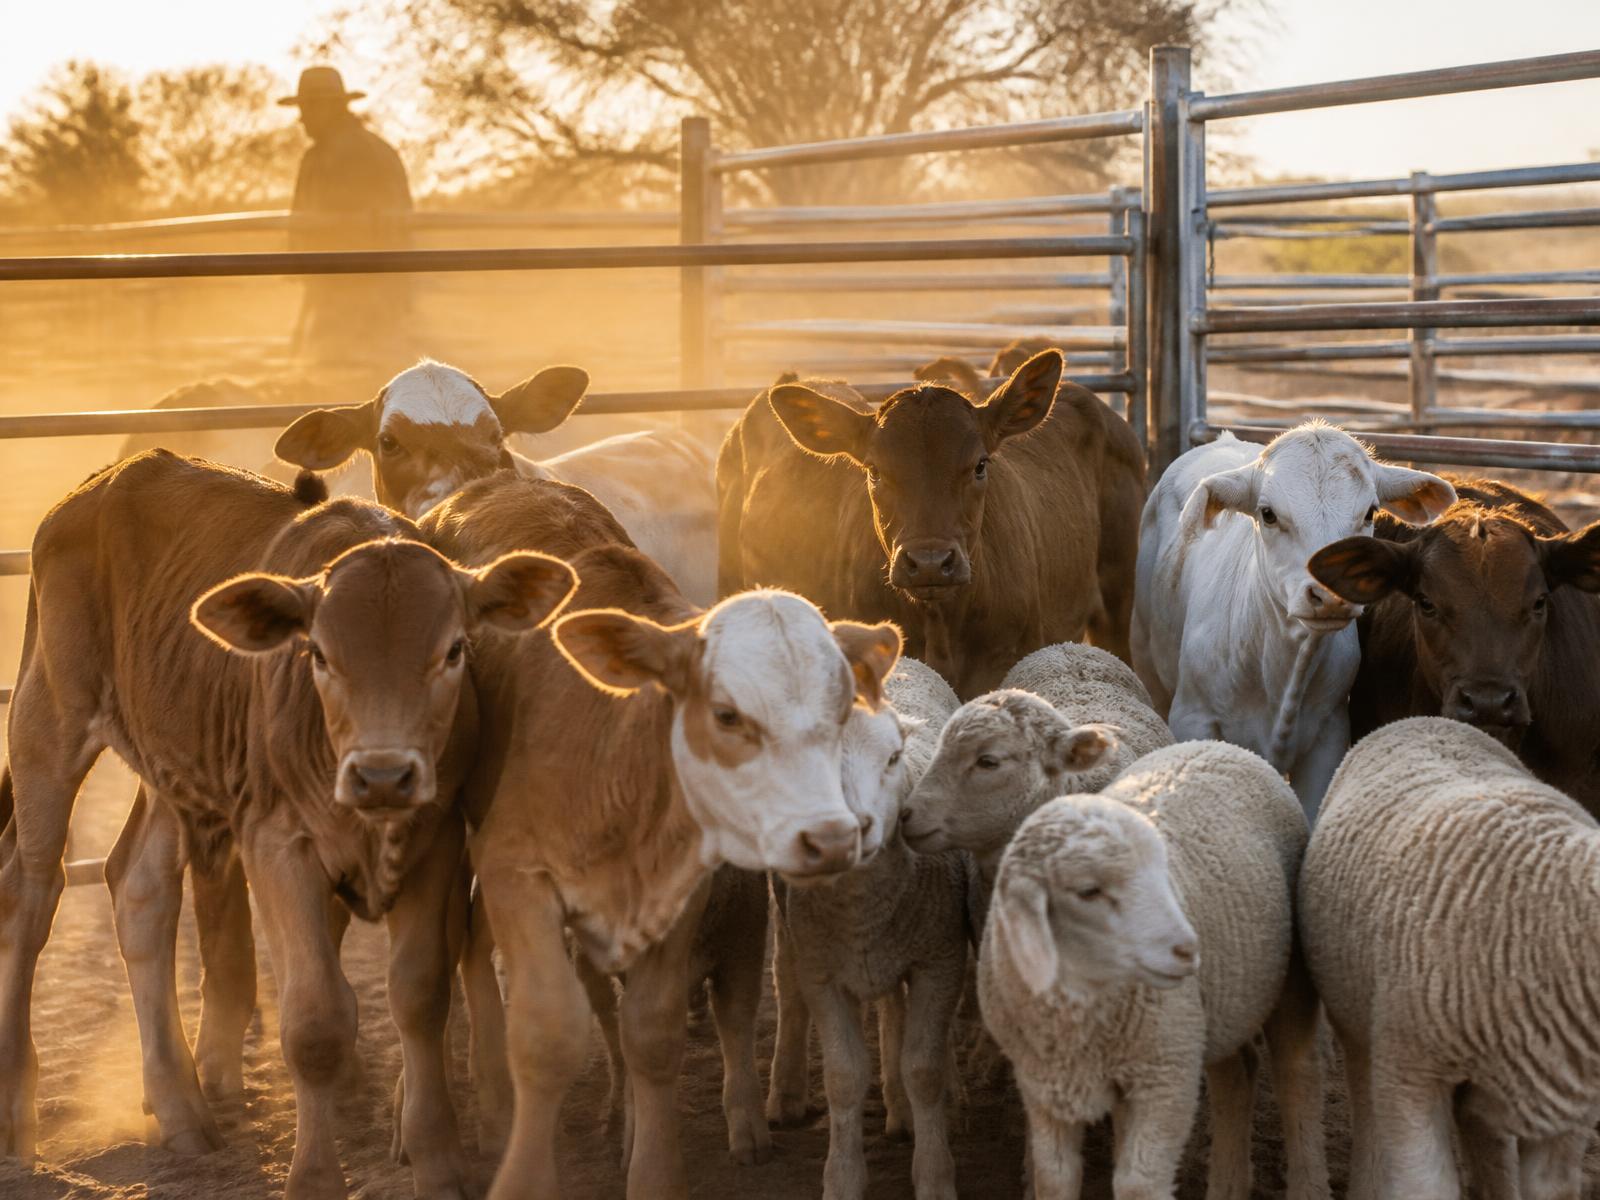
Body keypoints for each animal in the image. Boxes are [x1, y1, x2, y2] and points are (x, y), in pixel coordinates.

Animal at [0, 450, 575, 1199]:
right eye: (319, 654)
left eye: (454, 651)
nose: (383, 775)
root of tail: (99, 485)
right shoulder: (278, 844)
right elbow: (316, 1023)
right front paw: (315, 1177)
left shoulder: (437, 839)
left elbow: (421, 995)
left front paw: (439, 1162)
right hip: (49, 722)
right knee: (31, 898)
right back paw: (17, 1111)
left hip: (171, 758)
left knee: (140, 889)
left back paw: (182, 1110)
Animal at [418, 474, 899, 1200]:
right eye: (726, 714)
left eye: (844, 708)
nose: (831, 839)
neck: (617, 757)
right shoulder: (515, 872)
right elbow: (546, 1033)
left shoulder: (682, 893)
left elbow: (651, 1032)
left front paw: (652, 1170)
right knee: (463, 950)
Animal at [768, 657, 970, 1200]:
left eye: (894, 758)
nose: (854, 828)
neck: (862, 907)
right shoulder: (822, 971)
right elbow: (843, 1077)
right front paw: (842, 1176)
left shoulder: (939, 959)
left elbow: (923, 1069)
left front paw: (935, 1173)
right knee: (785, 983)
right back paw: (782, 1096)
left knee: (895, 1011)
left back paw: (906, 1110)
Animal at [981, 740, 1328, 1200]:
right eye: (1087, 891)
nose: (1187, 949)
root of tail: (1223, 746)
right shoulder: (1045, 1086)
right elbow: (1054, 1177)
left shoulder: (1163, 1081)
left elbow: (1138, 1184)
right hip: (1216, 1005)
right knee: (1236, 1075)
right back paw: (1227, 1186)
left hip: (1287, 980)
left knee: (1298, 1076)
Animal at [1301, 716, 1600, 1200]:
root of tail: (1423, 720)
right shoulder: (1411, 1073)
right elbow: (1426, 1184)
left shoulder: (1569, 1112)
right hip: (1362, 1021)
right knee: (1368, 1107)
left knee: (1486, 1138)